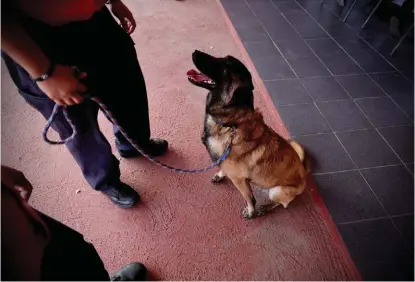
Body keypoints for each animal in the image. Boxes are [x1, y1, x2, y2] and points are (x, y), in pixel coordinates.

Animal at [187, 49, 310, 219]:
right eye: (223, 58)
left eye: (225, 66)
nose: (194, 51)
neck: (230, 124)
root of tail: (304, 174)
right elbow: (222, 166)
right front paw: (220, 174)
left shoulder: (239, 180)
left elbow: (250, 198)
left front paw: (251, 212)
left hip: (276, 191)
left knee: (282, 204)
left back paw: (266, 207)